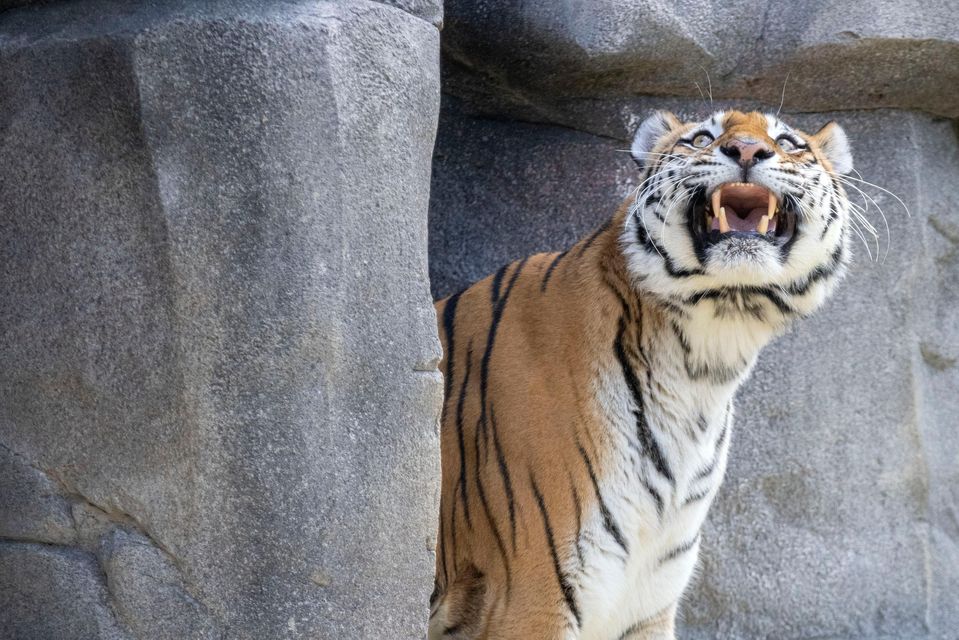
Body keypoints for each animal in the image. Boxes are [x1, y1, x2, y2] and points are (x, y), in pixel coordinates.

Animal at [428, 110, 856, 640]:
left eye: (788, 142)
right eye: (702, 137)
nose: (747, 151)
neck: (701, 365)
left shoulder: (647, 600)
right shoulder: (534, 596)